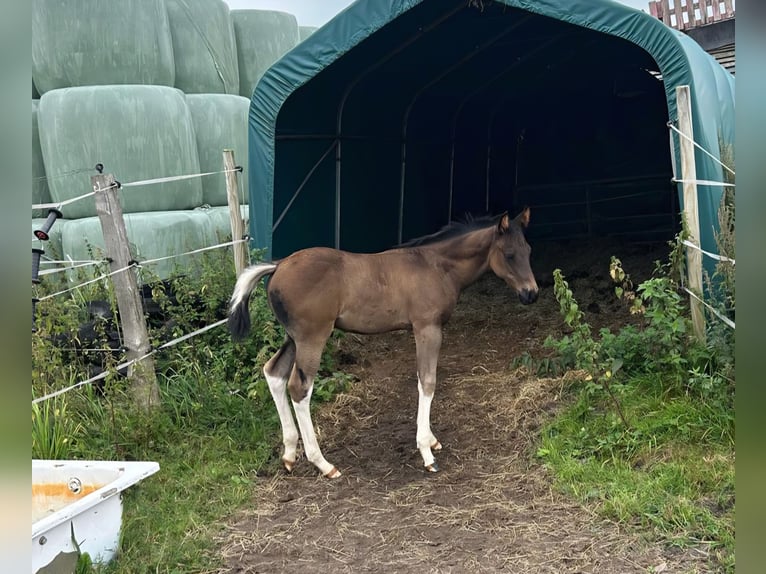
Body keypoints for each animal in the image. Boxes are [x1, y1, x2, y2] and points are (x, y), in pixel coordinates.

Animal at [228, 208, 539, 478]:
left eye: (528, 251)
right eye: (509, 255)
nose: (531, 294)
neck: (436, 266)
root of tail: (278, 265)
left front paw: (432, 440)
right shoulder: (427, 328)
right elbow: (427, 382)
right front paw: (426, 452)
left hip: (293, 338)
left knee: (273, 373)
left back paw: (290, 454)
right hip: (312, 337)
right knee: (299, 388)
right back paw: (324, 464)